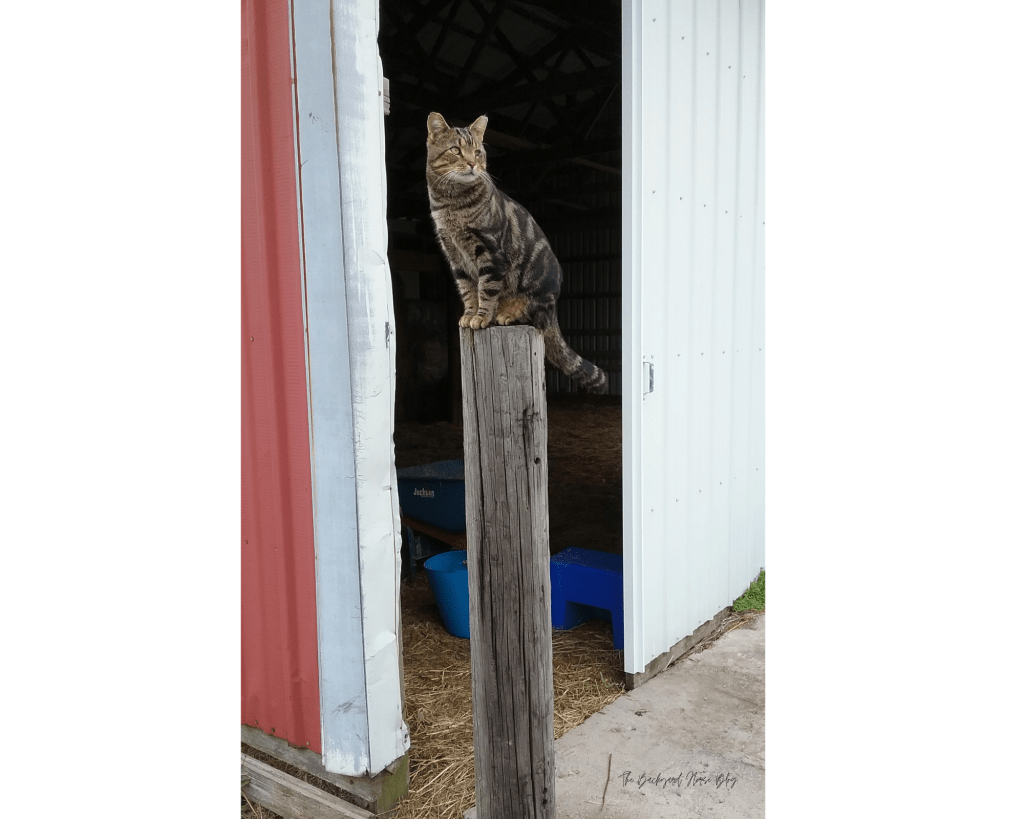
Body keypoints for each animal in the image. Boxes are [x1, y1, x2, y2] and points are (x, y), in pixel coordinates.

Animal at [425, 112, 609, 394]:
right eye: (455, 150)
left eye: (477, 152)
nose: (472, 164)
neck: (451, 203)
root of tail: (553, 307)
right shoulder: (454, 255)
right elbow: (467, 290)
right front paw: (469, 314)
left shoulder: (490, 251)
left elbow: (486, 289)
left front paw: (481, 317)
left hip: (539, 287)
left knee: (534, 316)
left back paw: (508, 314)